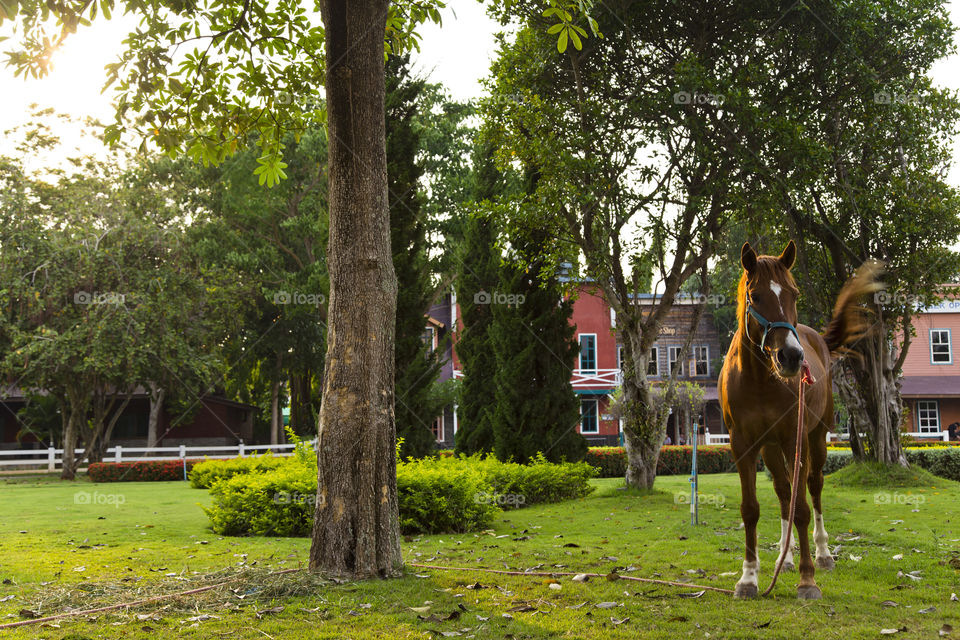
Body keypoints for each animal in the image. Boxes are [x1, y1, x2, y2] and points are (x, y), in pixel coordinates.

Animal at [720, 240, 884, 600]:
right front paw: (748, 578)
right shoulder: (744, 446)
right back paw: (786, 557)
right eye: (755, 296)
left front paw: (808, 579)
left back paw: (822, 555)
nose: (792, 356)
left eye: (794, 294)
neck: (760, 379)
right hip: (771, 449)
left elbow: (803, 509)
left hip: (815, 439)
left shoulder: (793, 439)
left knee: (813, 488)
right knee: (784, 492)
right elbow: (751, 509)